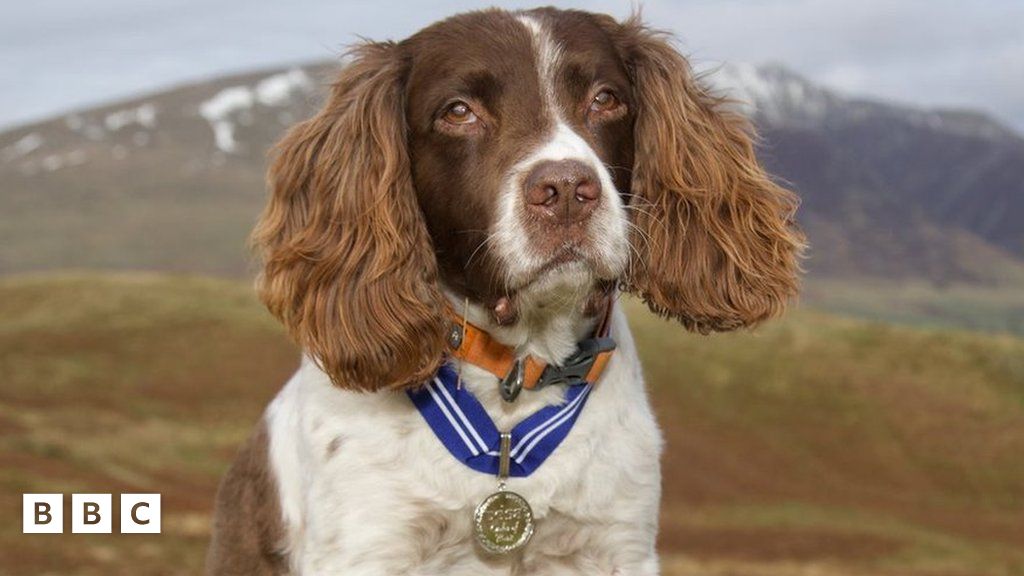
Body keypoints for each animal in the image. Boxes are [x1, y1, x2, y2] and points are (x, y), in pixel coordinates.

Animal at [205, 6, 798, 569]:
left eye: (606, 99)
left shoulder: (615, 542)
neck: (515, 379)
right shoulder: (368, 543)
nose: (567, 190)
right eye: (458, 111)